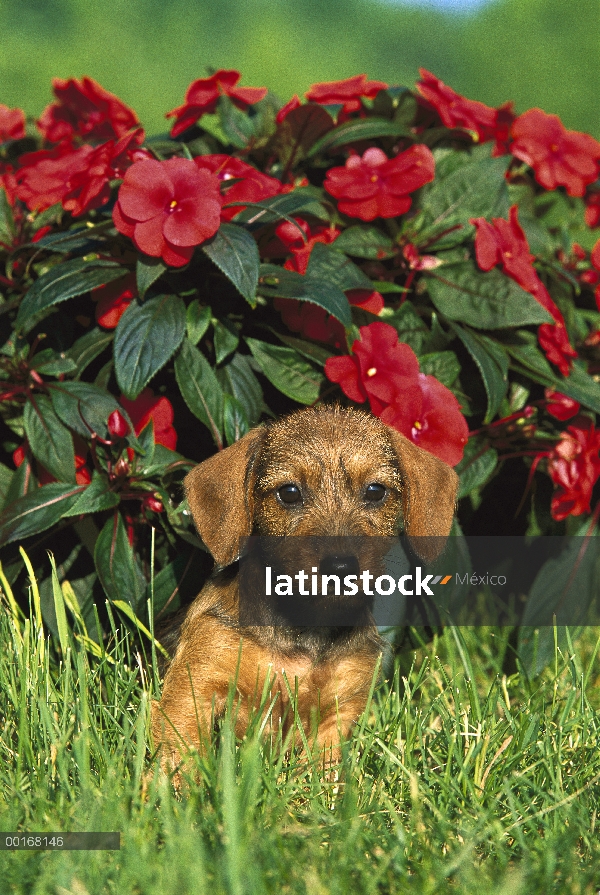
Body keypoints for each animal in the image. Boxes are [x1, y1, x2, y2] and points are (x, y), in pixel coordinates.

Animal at [151, 404, 460, 768]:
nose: (340, 567)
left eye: (375, 492)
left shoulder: (339, 713)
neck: (305, 632)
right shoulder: (197, 683)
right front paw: (171, 783)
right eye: (289, 493)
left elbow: (324, 771)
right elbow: (180, 749)